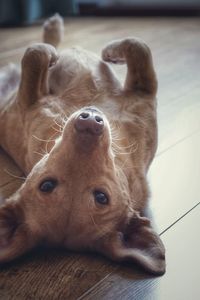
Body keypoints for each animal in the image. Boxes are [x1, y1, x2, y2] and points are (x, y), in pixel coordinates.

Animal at [0, 15, 166, 276]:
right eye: (47, 185)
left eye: (101, 197)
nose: (89, 122)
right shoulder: (26, 102)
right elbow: (36, 53)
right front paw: (108, 52)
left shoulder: (143, 99)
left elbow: (138, 46)